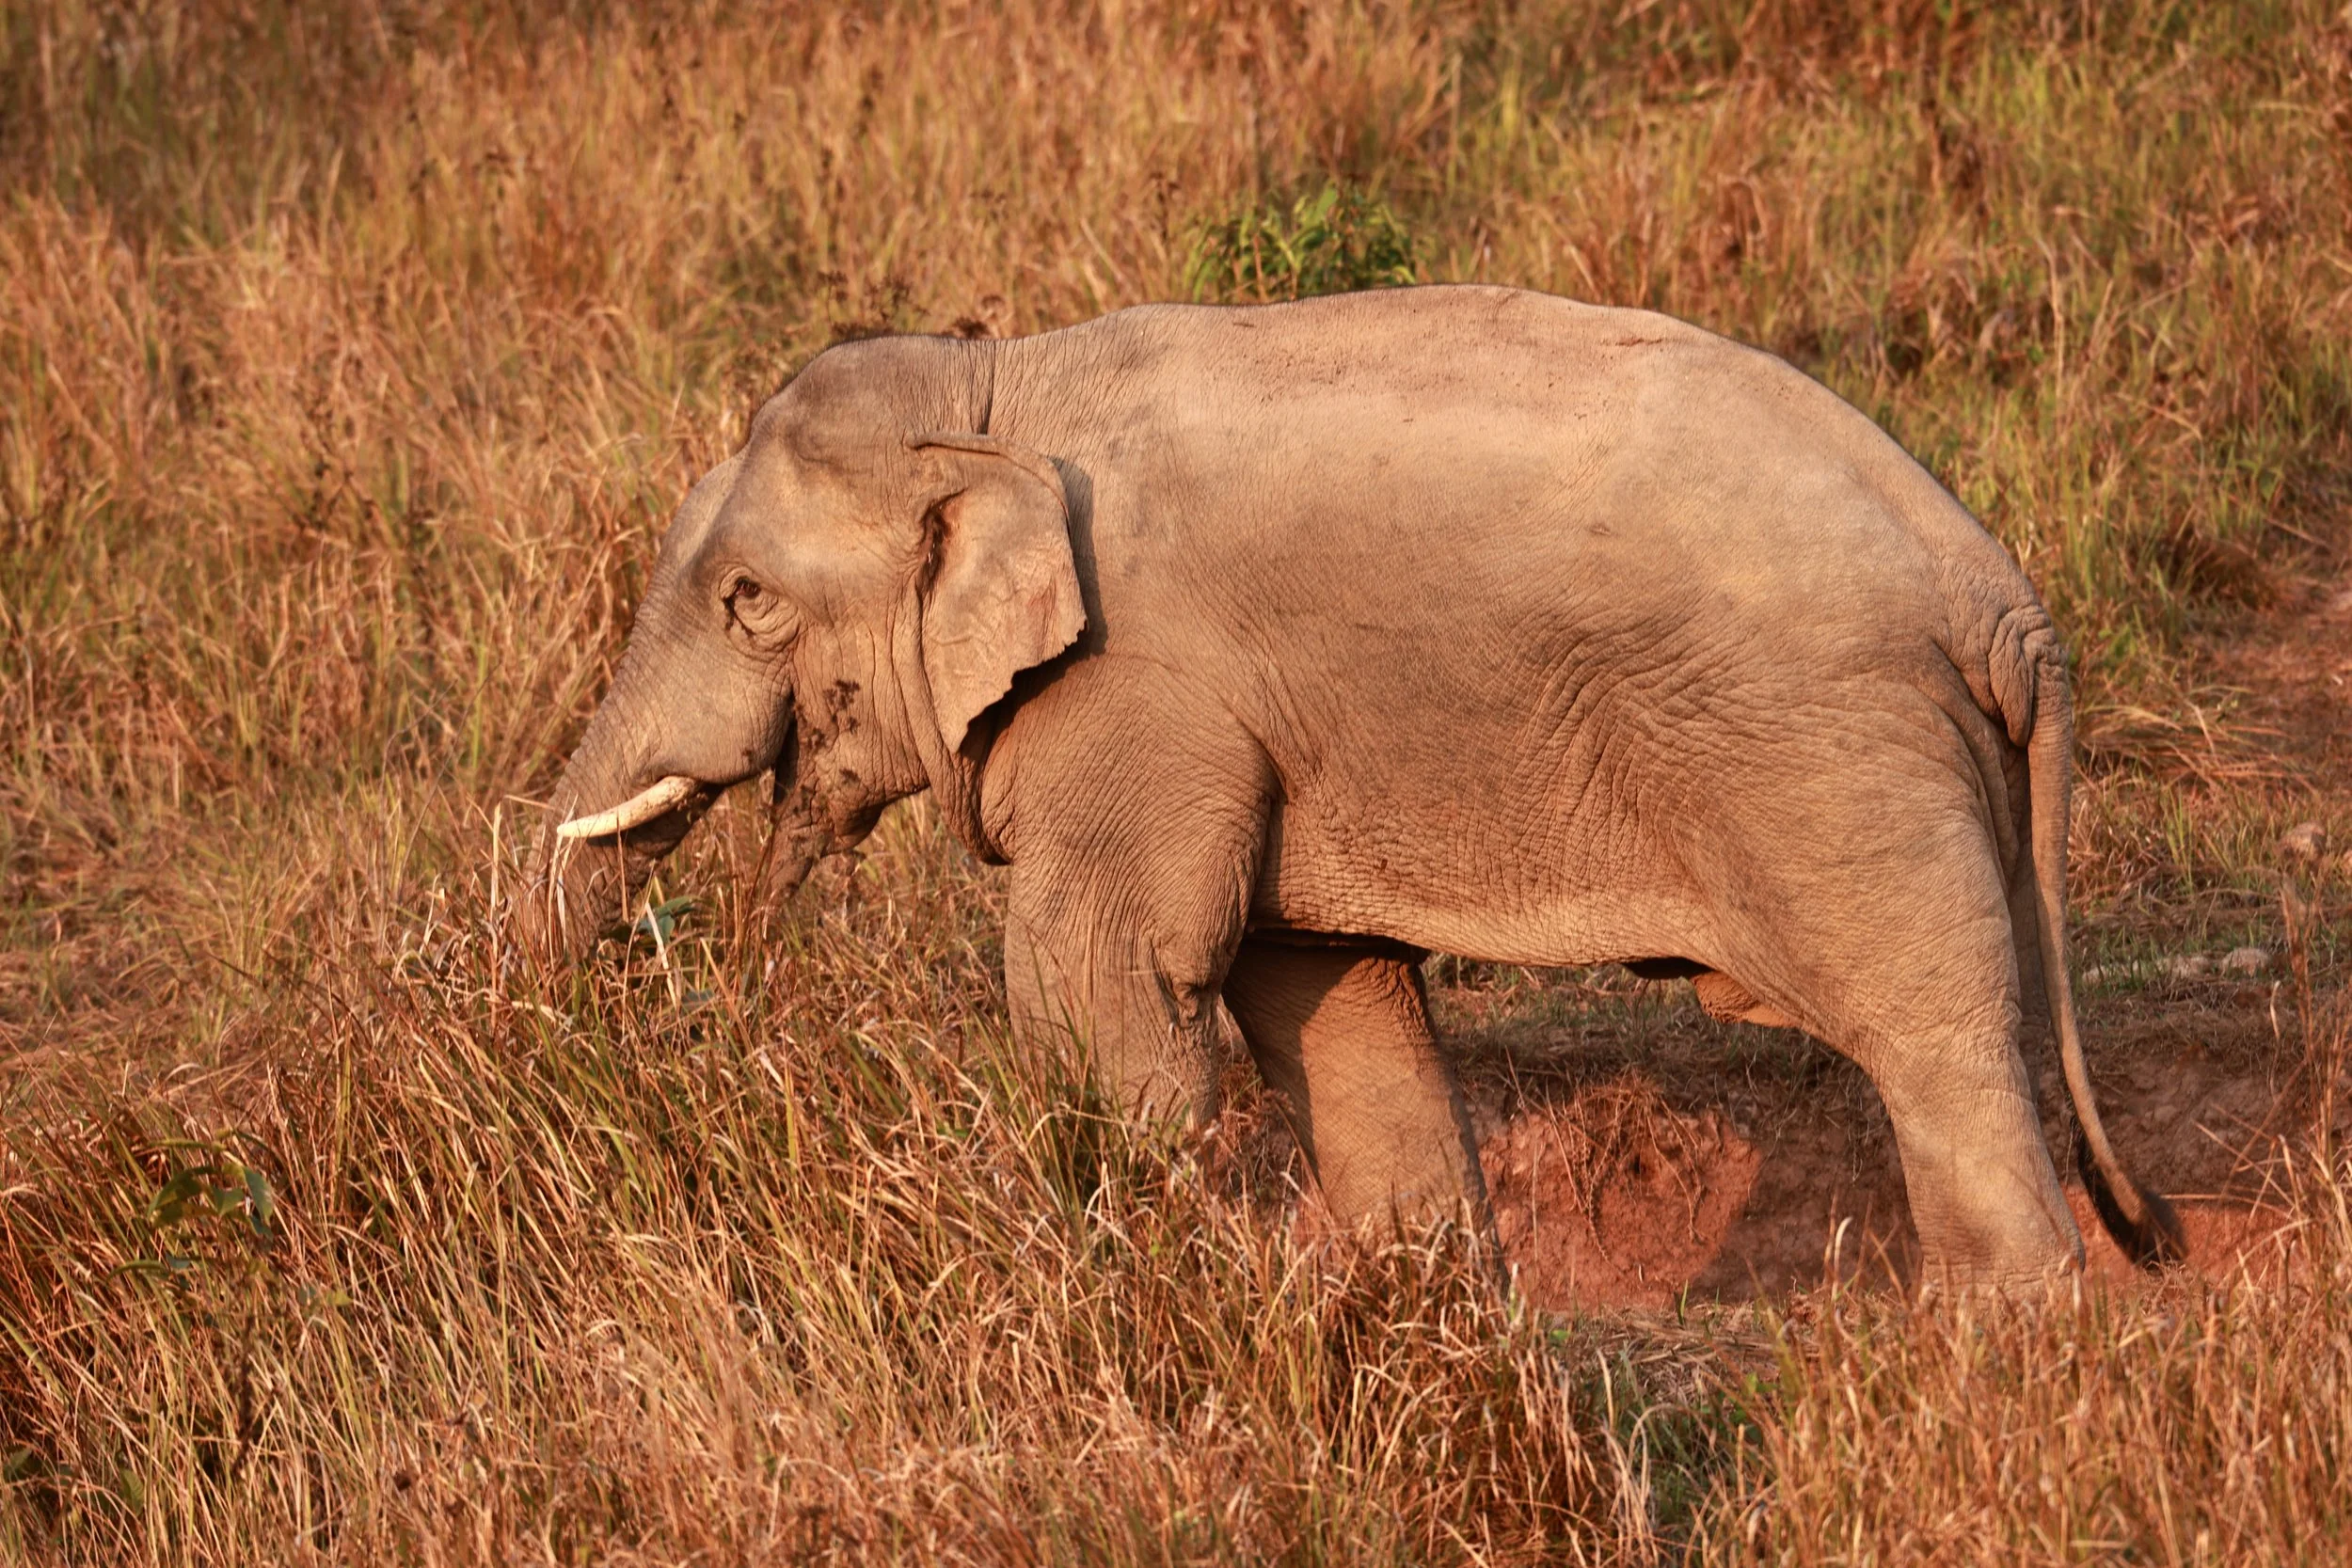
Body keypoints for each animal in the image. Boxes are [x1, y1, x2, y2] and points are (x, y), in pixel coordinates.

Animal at [515, 283, 2184, 1288]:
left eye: (748, 602)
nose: (688, 1006)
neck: (999, 386)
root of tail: (2000, 591)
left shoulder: (1137, 690)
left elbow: (1104, 986)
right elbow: (1323, 990)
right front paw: (1426, 1310)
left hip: (1834, 762)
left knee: (1938, 1044)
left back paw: (2002, 1360)